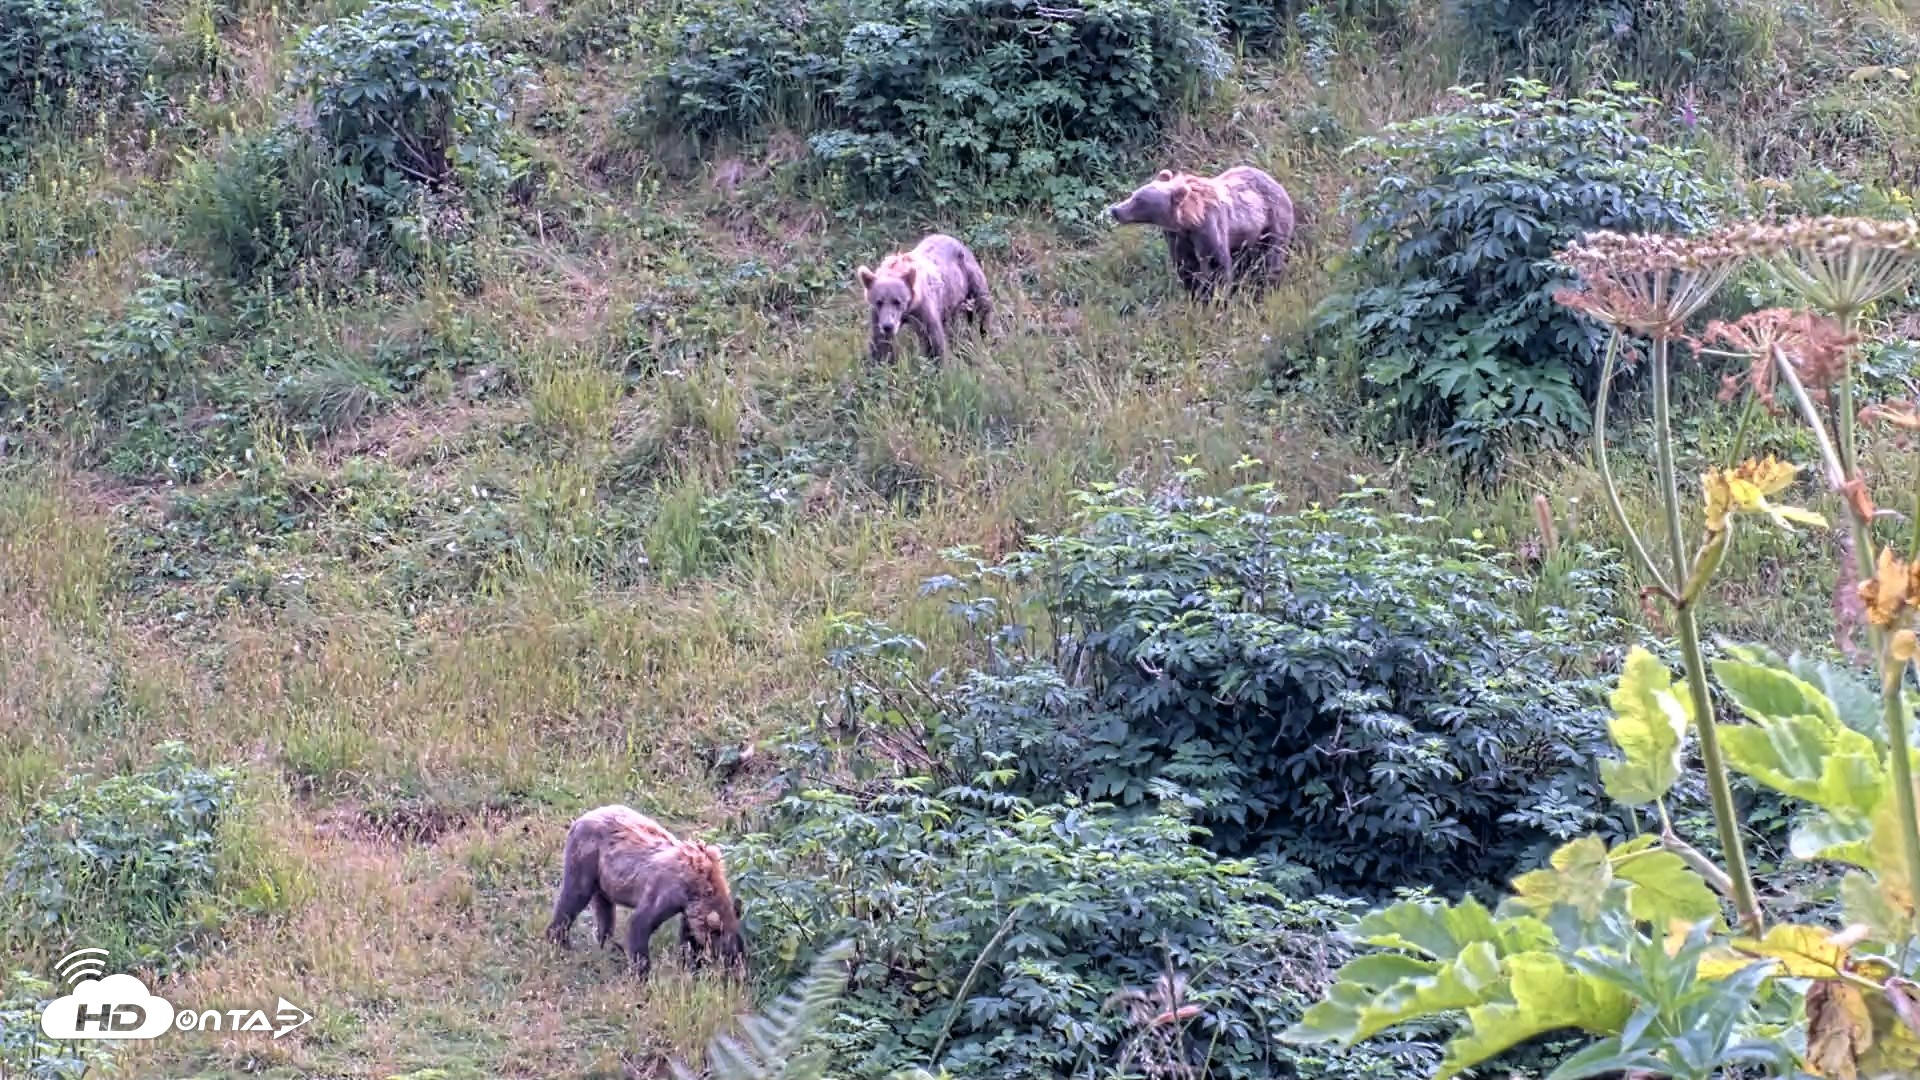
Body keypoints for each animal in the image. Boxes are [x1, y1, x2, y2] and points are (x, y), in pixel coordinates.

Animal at [543, 805, 745, 980]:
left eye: (740, 952)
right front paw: (642, 974)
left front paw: (690, 964)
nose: (739, 977)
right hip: (586, 856)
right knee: (574, 896)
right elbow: (640, 923)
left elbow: (688, 936)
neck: (700, 885)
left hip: (603, 877)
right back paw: (559, 941)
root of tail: (580, 818)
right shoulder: (667, 890)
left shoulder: (688, 908)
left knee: (605, 909)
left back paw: (608, 945)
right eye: (727, 955)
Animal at [855, 233, 992, 362]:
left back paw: (984, 335)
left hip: (969, 277)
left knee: (981, 306)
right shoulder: (877, 315)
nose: (888, 326)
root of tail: (954, 239)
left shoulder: (923, 308)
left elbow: (932, 337)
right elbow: (879, 341)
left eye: (897, 301)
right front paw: (879, 362)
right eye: (879, 302)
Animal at [1106, 166, 1296, 300]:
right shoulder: (1177, 237)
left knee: (1272, 254)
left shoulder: (1209, 227)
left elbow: (1216, 265)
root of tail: (1277, 183)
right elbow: (1186, 264)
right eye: (1134, 194)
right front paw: (1193, 290)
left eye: (1139, 200)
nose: (1115, 210)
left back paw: (1268, 281)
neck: (1188, 220)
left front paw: (1215, 296)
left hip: (1273, 220)